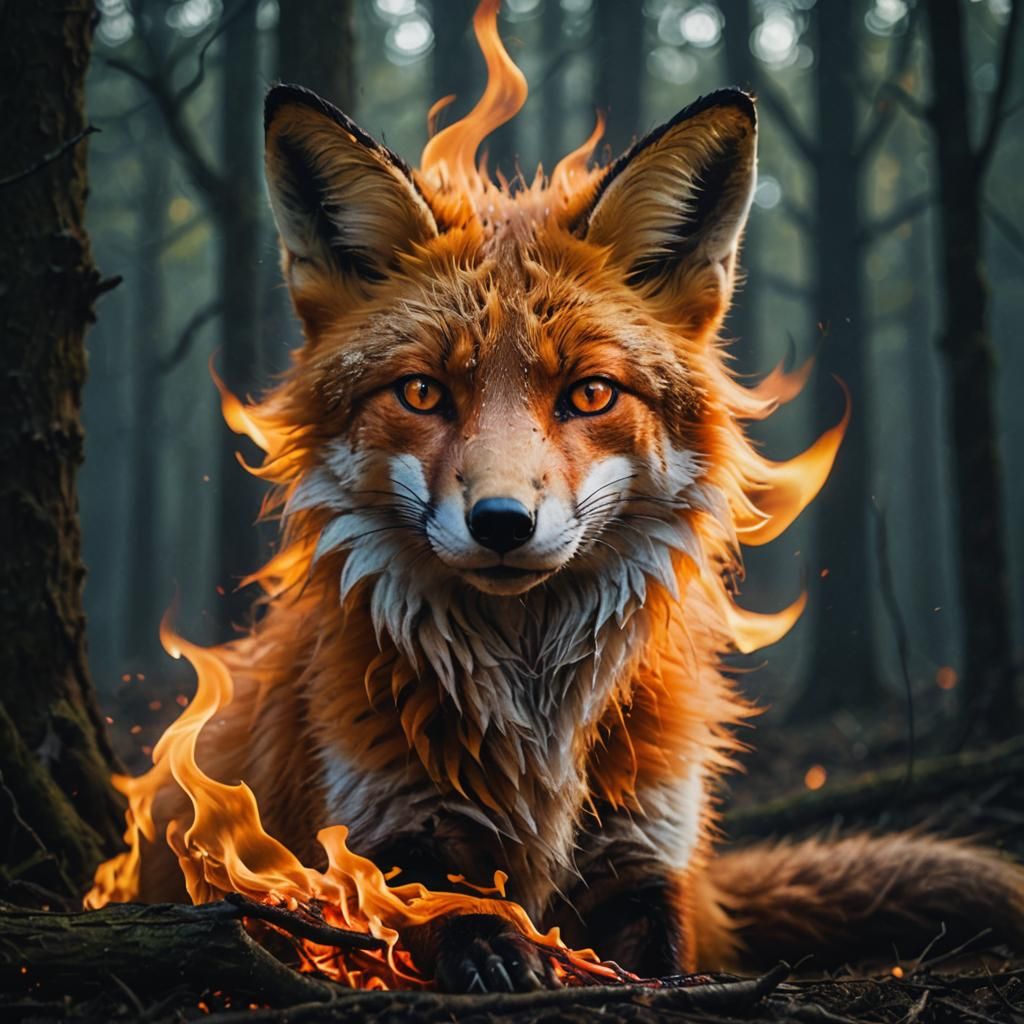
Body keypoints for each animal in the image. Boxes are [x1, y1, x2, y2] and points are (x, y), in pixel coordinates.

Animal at [120, 70, 1024, 991]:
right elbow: (455, 919)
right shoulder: (380, 847)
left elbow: (660, 965)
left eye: (590, 393)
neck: (535, 717)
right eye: (422, 393)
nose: (502, 523)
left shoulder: (643, 854)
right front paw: (503, 960)